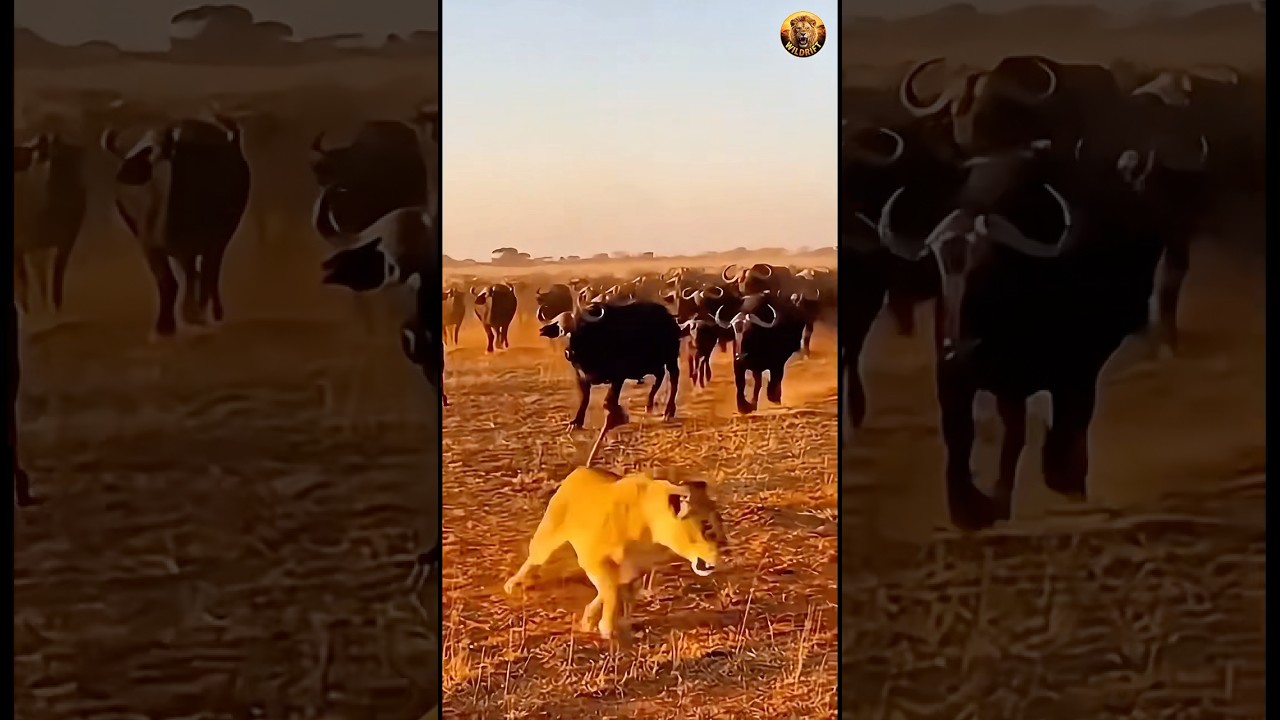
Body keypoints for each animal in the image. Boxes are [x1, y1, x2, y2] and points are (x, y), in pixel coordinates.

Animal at [503, 467, 725, 639]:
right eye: (706, 526)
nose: (725, 546)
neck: (652, 531)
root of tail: (580, 470)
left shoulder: (635, 570)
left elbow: (614, 593)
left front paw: (592, 621)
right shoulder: (594, 560)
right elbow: (611, 592)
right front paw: (607, 628)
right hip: (549, 533)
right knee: (534, 558)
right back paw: (514, 583)